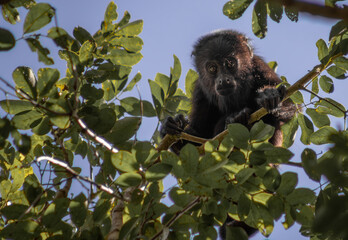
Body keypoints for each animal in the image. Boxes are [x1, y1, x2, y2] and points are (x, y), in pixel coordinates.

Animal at [160, 31, 296, 238]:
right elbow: (198, 143)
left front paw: (270, 97)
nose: (223, 80)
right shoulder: (200, 91)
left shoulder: (260, 67)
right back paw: (233, 120)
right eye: (212, 68)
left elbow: (290, 107)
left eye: (230, 63)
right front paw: (172, 126)